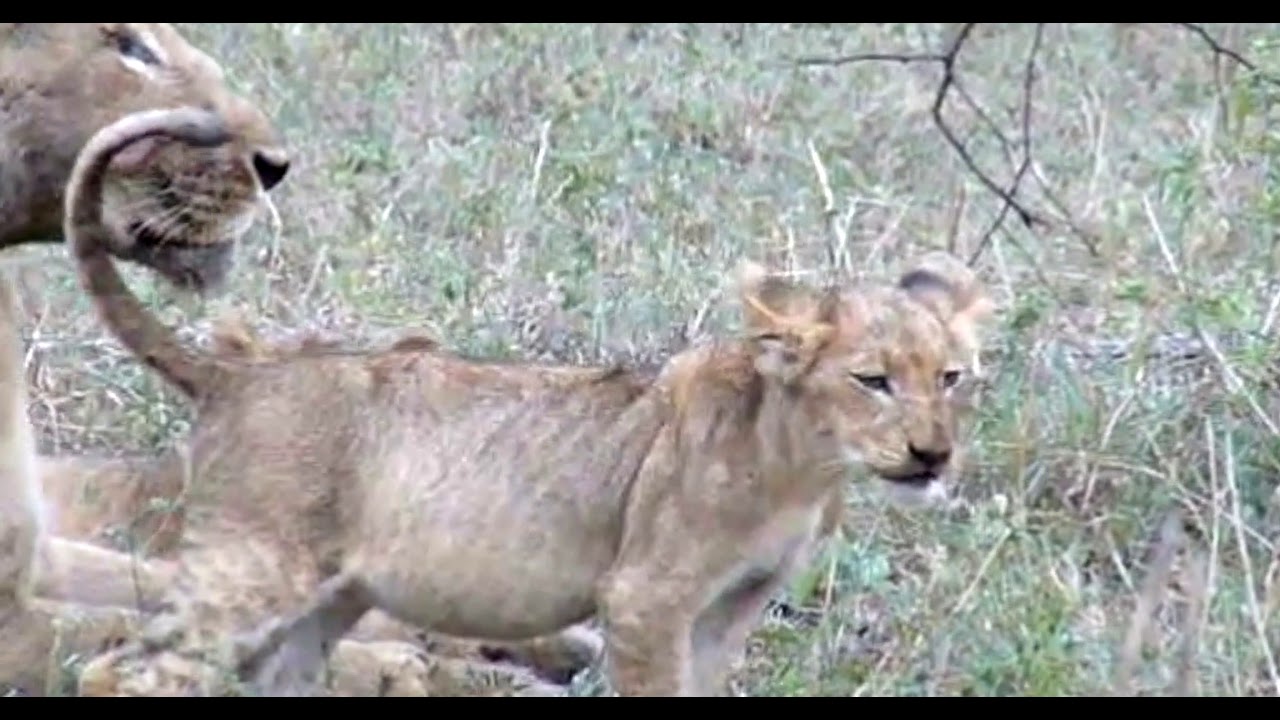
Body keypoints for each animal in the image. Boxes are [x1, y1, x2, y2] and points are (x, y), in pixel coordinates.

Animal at [60, 113, 996, 696]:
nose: (932, 454)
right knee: (120, 673)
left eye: (949, 377)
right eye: (872, 380)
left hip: (321, 600)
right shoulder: (646, 598)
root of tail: (239, 374)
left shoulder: (731, 608)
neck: (801, 466)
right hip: (250, 567)